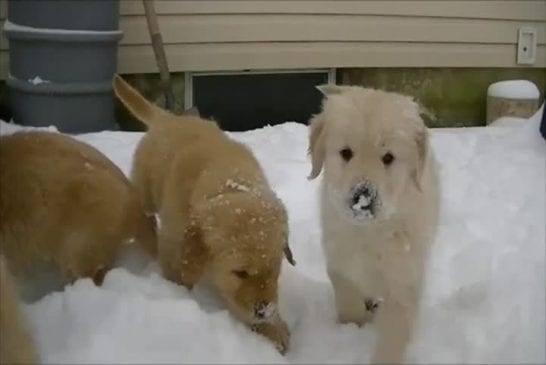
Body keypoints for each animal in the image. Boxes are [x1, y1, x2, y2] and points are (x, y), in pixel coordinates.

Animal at [112, 74, 296, 352]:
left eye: (274, 269)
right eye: (240, 273)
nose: (264, 311)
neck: (231, 181)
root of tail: (168, 118)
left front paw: (272, 327)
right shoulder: (173, 240)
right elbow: (177, 273)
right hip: (146, 190)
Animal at [306, 84, 438, 362]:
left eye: (388, 157)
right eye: (346, 153)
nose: (362, 197)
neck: (370, 231)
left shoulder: (404, 276)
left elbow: (395, 331)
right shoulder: (340, 259)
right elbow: (348, 299)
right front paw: (352, 328)